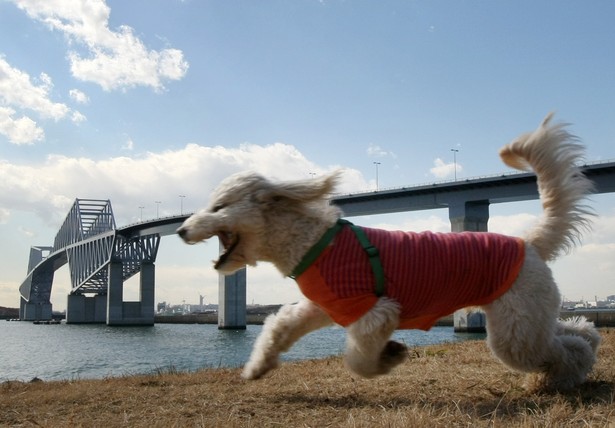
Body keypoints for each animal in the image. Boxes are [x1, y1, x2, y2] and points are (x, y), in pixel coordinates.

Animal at [178, 114, 600, 392]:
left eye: (218, 207)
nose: (180, 230)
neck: (314, 242)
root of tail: (527, 242)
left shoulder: (373, 312)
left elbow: (359, 359)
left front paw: (390, 356)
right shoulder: (323, 305)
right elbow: (278, 327)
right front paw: (256, 369)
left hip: (514, 332)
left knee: (565, 347)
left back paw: (564, 377)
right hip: (527, 319)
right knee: (577, 329)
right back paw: (585, 348)